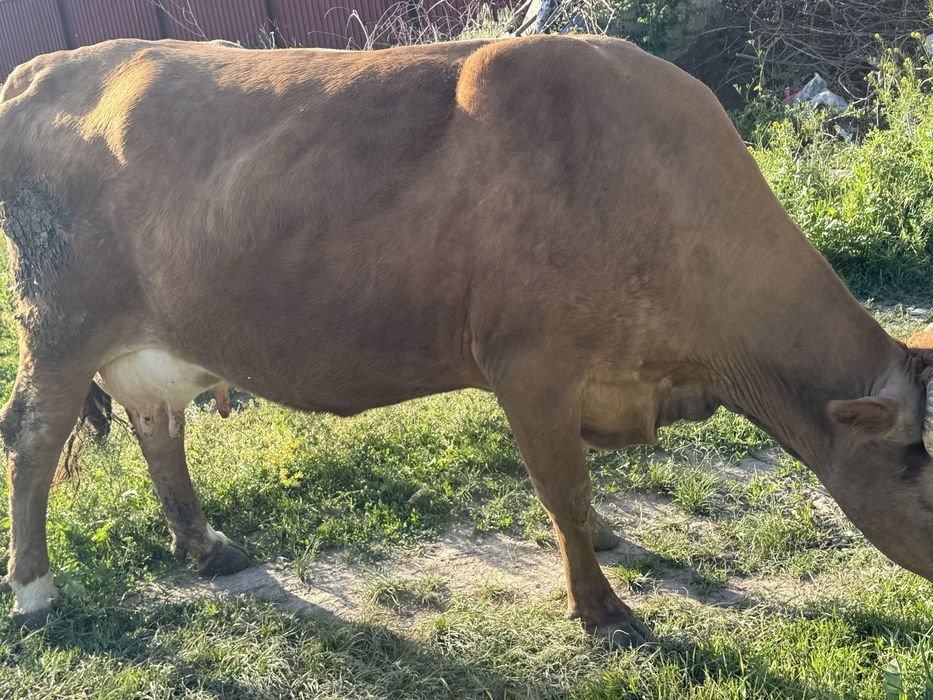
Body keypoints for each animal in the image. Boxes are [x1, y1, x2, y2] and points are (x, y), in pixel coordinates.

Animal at [1, 35, 932, 647]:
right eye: (926, 488)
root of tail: (44, 66)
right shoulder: (531, 365)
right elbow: (565, 491)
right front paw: (601, 609)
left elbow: (583, 491)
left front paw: (606, 551)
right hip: (58, 326)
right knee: (34, 440)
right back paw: (37, 592)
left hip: (145, 339)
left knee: (158, 426)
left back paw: (206, 547)